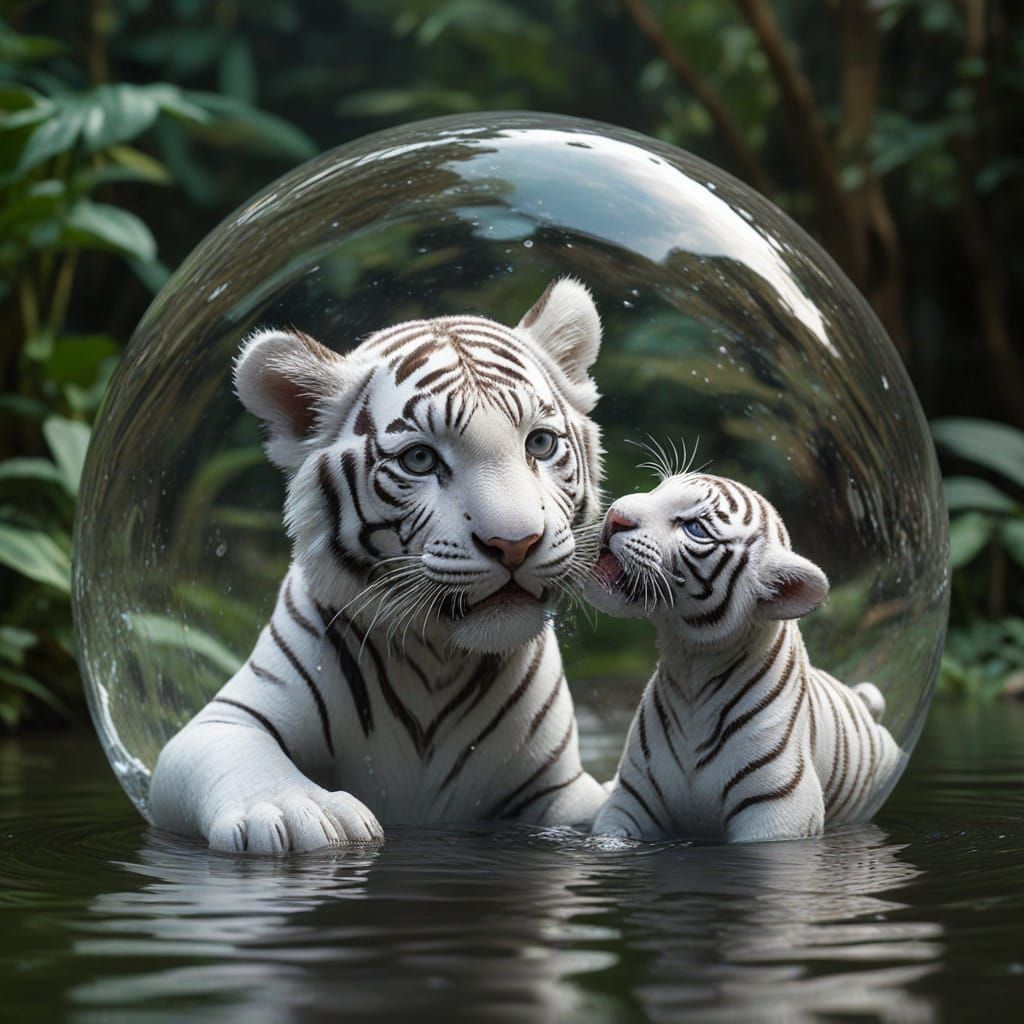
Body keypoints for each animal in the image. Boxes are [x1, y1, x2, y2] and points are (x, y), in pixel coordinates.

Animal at [148, 277, 610, 853]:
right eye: (420, 459)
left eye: (540, 444)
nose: (515, 544)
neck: (439, 658)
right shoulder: (221, 723)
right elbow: (245, 760)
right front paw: (300, 814)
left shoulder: (558, 791)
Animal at [584, 469, 903, 843]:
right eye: (659, 489)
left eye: (695, 528)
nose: (614, 514)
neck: (690, 664)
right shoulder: (628, 801)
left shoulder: (778, 813)